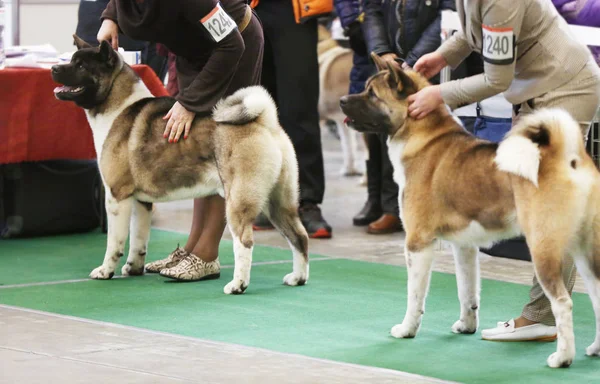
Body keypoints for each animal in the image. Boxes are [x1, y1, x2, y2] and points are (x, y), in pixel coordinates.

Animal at [51, 36, 310, 294]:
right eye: (71, 60)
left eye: (81, 66)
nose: (54, 68)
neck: (118, 106)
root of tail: (264, 122)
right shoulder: (141, 202)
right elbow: (138, 238)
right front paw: (134, 268)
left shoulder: (117, 196)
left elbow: (115, 242)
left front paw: (105, 271)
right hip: (279, 201)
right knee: (299, 237)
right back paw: (297, 278)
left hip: (240, 201)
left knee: (244, 242)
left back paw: (237, 285)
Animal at [340, 52, 600, 368]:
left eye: (372, 94)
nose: (341, 100)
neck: (424, 138)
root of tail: (569, 159)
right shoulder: (464, 246)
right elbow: (467, 291)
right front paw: (466, 325)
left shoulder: (417, 242)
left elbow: (415, 296)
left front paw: (406, 329)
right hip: (585, 252)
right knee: (598, 298)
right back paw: (594, 349)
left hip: (544, 249)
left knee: (563, 303)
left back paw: (562, 357)